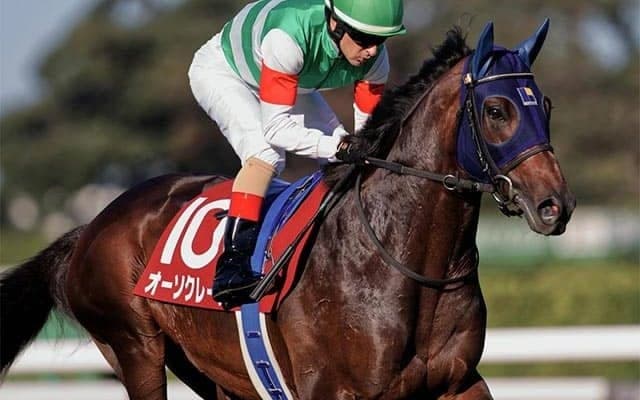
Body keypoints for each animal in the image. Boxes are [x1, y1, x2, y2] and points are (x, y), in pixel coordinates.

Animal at [1, 21, 575, 399]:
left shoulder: (458, 381)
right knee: (263, 151)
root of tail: (90, 228)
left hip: (210, 371)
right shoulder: (332, 392)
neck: (404, 262)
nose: (556, 205)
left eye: (545, 105)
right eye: (496, 110)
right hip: (134, 348)